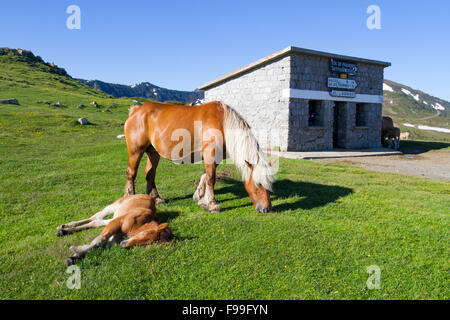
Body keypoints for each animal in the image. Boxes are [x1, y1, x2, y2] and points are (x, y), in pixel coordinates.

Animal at [123, 101, 274, 214]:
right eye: (258, 184)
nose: (266, 209)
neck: (222, 122)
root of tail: (136, 111)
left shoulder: (215, 156)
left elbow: (205, 176)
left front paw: (200, 198)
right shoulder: (210, 153)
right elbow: (211, 178)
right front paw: (212, 204)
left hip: (153, 153)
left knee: (150, 174)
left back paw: (156, 198)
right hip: (136, 151)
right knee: (131, 172)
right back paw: (130, 198)